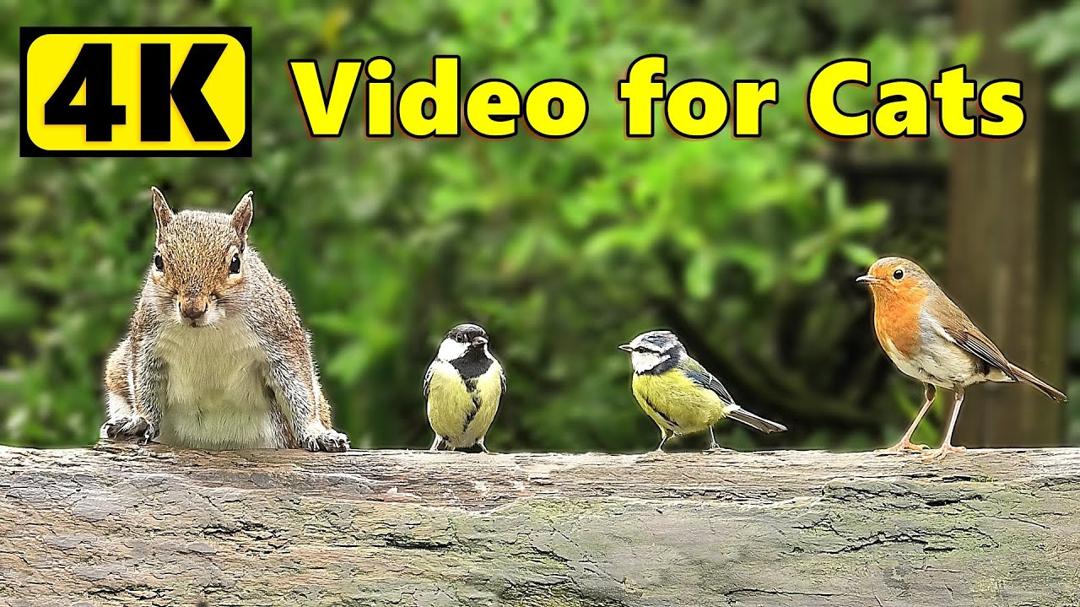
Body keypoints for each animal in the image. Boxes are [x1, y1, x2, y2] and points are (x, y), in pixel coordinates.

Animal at [101, 187, 350, 452]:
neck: (207, 331)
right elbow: (144, 384)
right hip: (116, 368)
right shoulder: (146, 340)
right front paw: (142, 421)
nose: (192, 309)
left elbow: (298, 388)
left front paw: (316, 433)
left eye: (235, 263)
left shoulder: (280, 336)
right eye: (159, 261)